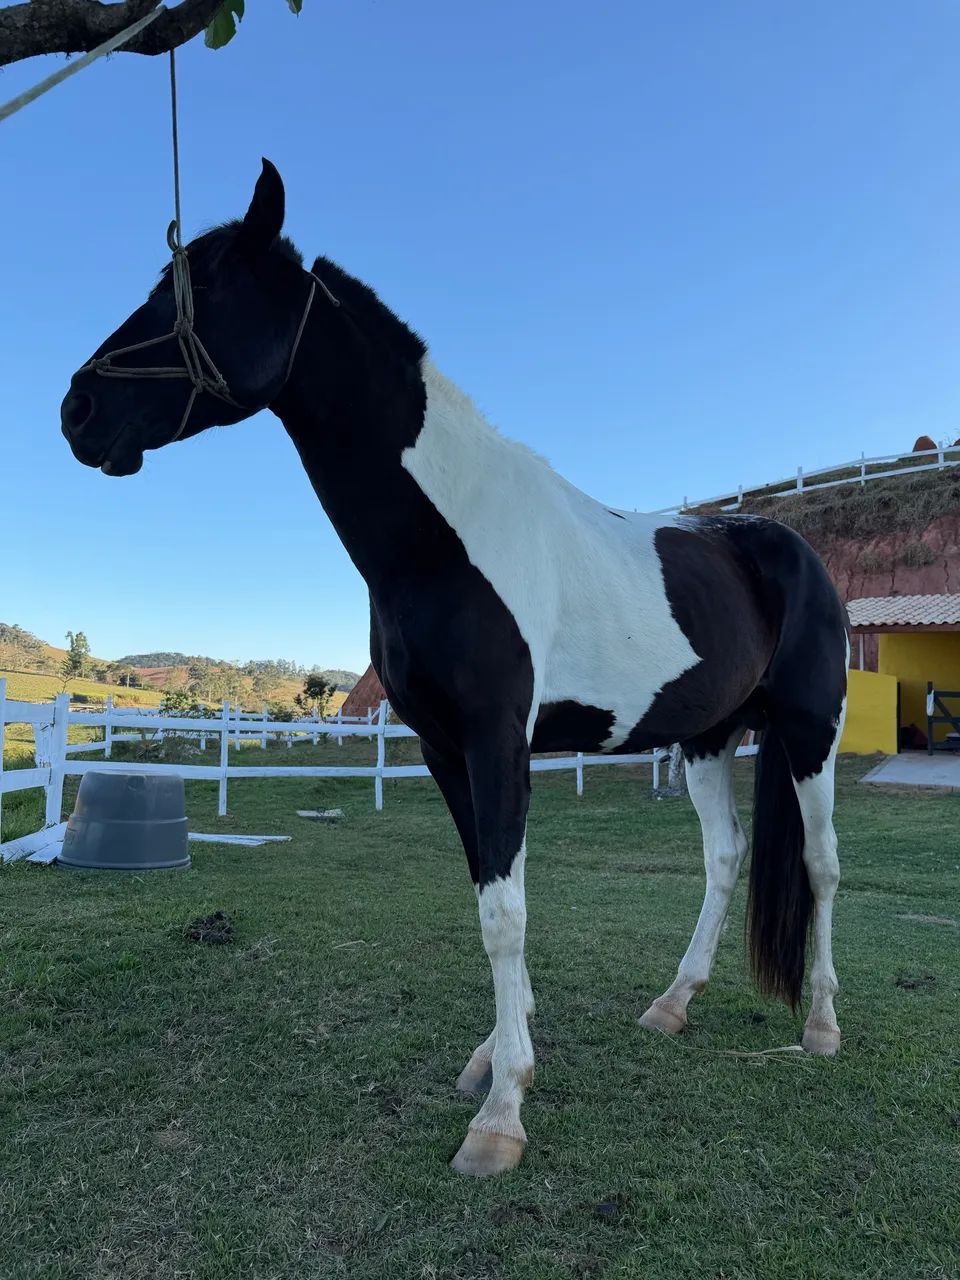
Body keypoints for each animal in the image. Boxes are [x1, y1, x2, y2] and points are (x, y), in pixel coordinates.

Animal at [61, 160, 849, 1178]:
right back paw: (673, 1005)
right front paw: (496, 1055)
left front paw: (502, 1114)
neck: (444, 536)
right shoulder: (442, 749)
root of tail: (787, 548)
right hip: (709, 738)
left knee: (824, 865)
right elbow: (487, 894)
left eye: (203, 288)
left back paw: (822, 1025)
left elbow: (505, 914)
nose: (77, 410)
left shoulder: (494, 741)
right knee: (724, 858)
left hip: (808, 730)